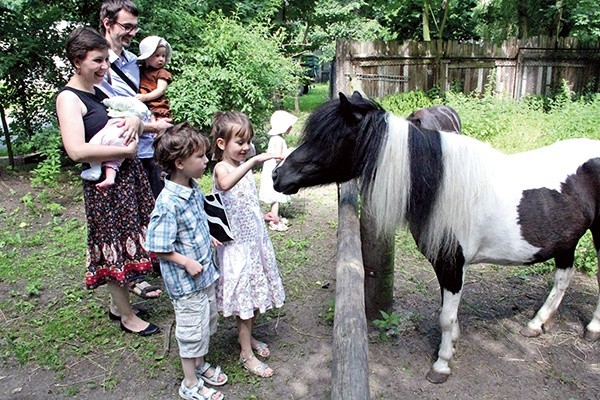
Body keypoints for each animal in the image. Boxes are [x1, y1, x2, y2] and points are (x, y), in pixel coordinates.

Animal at [274, 91, 600, 384]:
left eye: (329, 138)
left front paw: (442, 364)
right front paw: (452, 343)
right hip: (566, 240)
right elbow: (446, 309)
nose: (278, 175)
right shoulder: (443, 265)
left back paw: (593, 328)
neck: (438, 185)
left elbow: (446, 316)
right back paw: (536, 324)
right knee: (562, 278)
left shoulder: (452, 264)